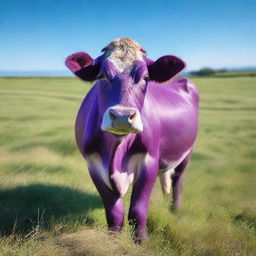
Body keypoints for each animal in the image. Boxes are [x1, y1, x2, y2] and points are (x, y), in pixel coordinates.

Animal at [65, 38, 199, 240]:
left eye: (145, 78)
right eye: (102, 75)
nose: (122, 116)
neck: (116, 152)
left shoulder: (150, 159)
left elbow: (138, 209)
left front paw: (141, 239)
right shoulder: (92, 162)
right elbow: (114, 211)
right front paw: (112, 239)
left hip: (187, 152)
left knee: (177, 180)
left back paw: (175, 209)